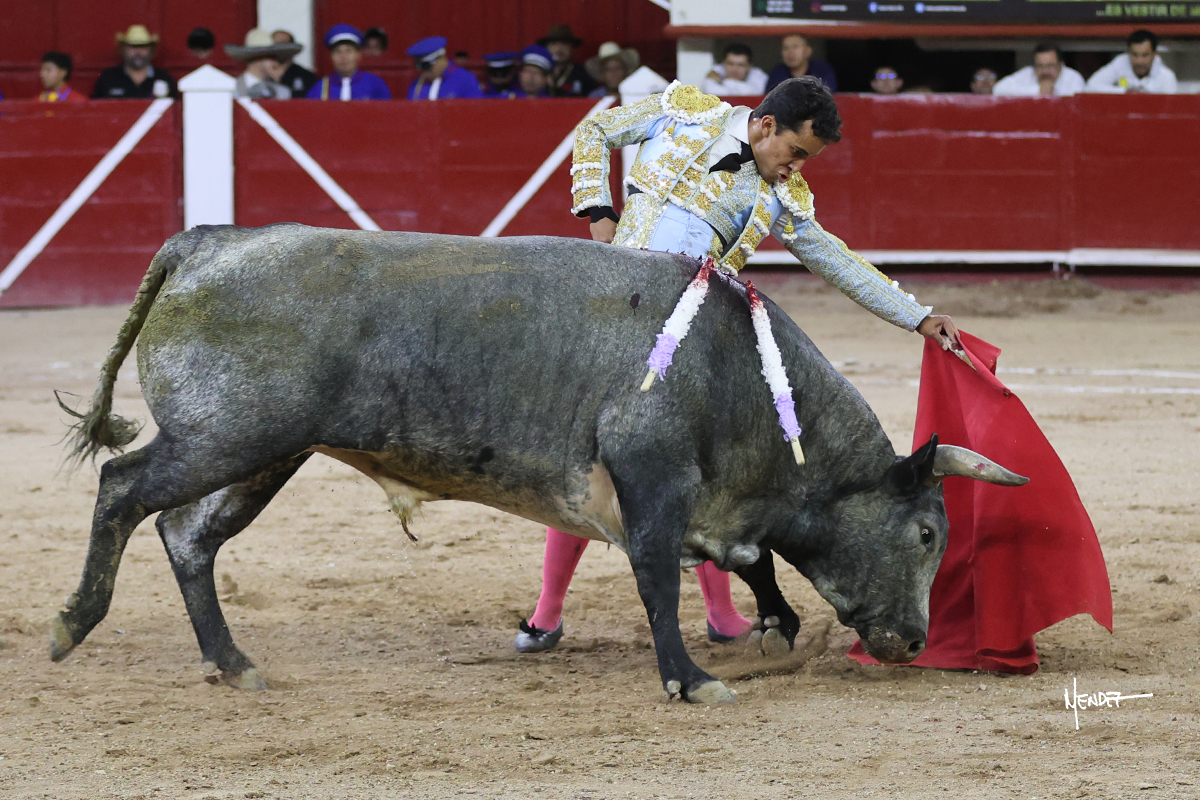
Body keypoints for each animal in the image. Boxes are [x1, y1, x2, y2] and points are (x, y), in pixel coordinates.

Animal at [51, 224, 1027, 703]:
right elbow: (658, 579)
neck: (742, 373)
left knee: (189, 536)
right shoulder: (652, 481)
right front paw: (690, 680)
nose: (915, 641)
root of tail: (208, 242)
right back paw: (73, 624)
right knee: (125, 489)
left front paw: (771, 624)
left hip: (262, 454)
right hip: (228, 437)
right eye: (928, 531)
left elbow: (748, 563)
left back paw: (233, 662)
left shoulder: (709, 507)